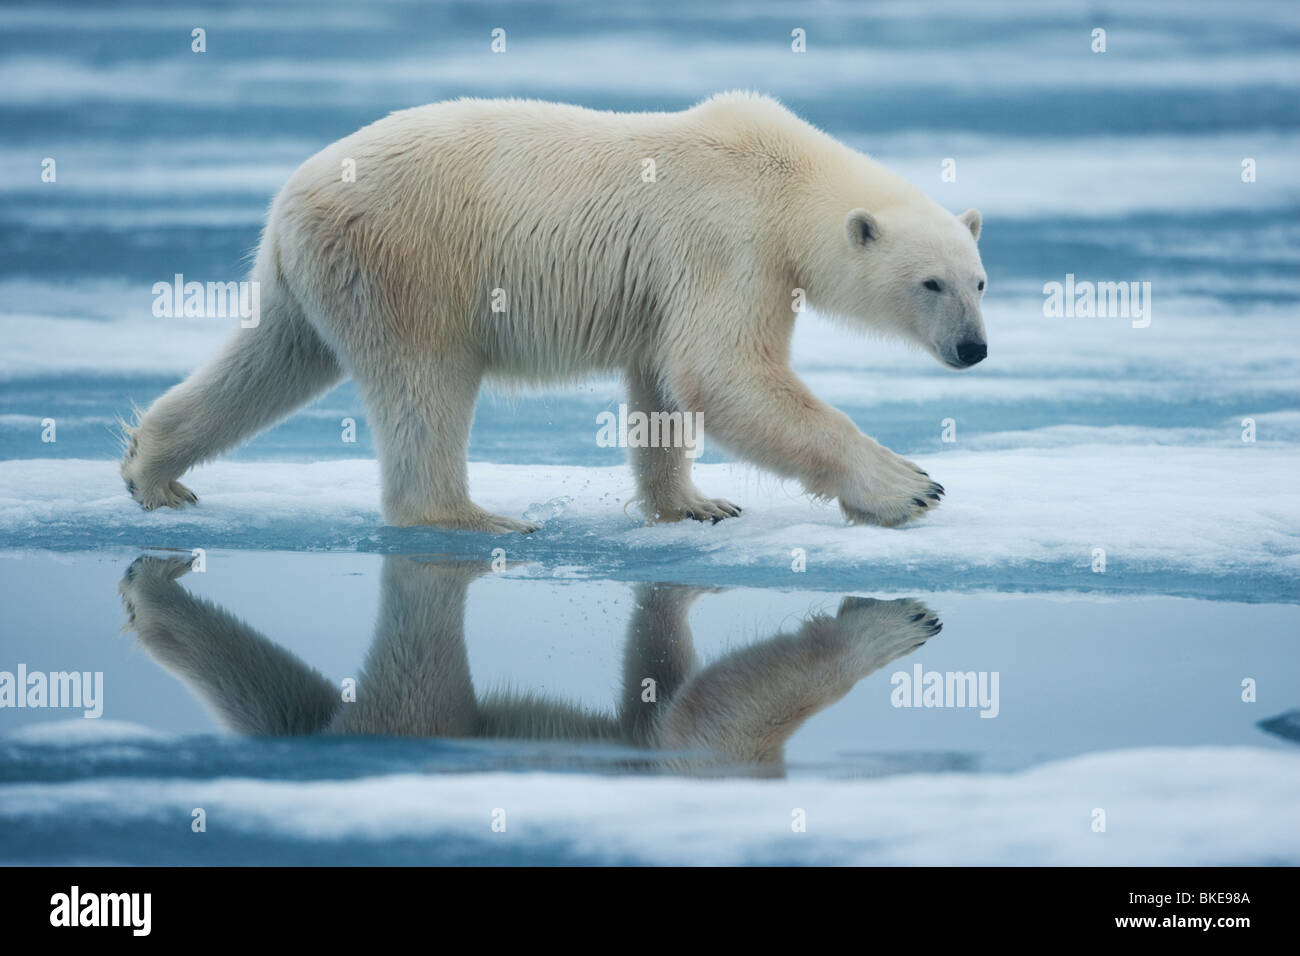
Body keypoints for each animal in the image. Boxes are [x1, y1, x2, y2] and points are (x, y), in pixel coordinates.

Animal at [124, 91, 982, 530]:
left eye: (979, 281)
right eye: (930, 284)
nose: (973, 350)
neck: (786, 178)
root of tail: (288, 197)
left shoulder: (672, 279)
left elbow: (663, 385)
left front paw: (696, 503)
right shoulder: (728, 243)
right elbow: (722, 371)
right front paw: (908, 485)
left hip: (313, 276)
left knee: (273, 358)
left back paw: (153, 471)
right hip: (409, 261)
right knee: (425, 382)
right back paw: (470, 516)